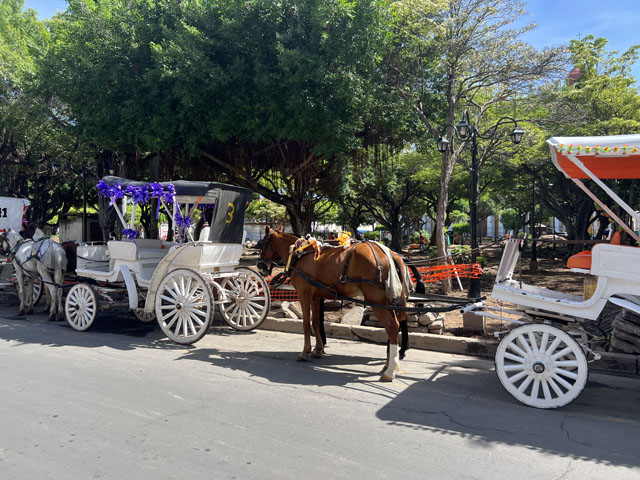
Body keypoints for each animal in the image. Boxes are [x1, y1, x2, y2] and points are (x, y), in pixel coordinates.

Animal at [257, 226, 411, 382]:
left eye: (262, 242)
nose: (259, 265)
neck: (299, 255)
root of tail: (391, 254)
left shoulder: (304, 295)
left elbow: (306, 324)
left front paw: (305, 352)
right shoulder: (316, 297)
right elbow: (316, 323)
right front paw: (318, 350)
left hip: (375, 300)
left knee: (392, 326)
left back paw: (390, 370)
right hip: (385, 302)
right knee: (395, 325)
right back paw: (388, 363)